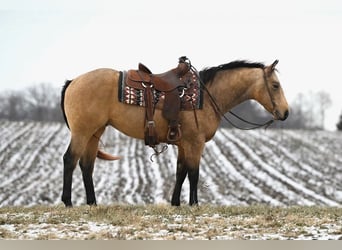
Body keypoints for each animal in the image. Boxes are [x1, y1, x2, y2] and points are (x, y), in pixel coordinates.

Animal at [60, 57, 288, 206]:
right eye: (276, 85)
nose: (285, 113)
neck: (206, 96)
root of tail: (73, 81)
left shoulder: (184, 144)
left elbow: (181, 172)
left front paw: (176, 203)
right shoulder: (195, 143)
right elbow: (194, 173)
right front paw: (194, 204)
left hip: (94, 133)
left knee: (86, 165)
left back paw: (92, 203)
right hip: (82, 133)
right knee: (70, 160)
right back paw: (68, 201)